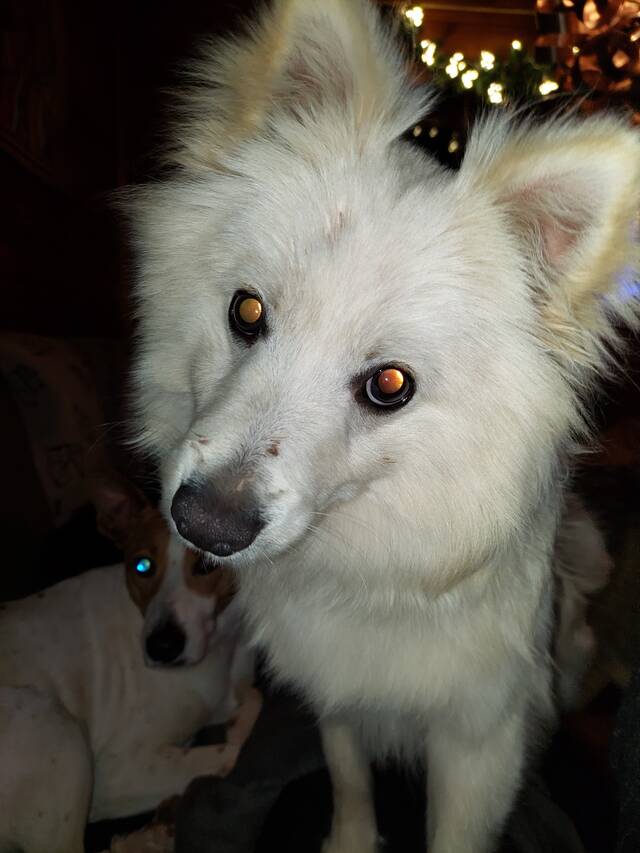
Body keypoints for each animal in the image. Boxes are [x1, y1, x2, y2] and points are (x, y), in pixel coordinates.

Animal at [0, 476, 261, 853]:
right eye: (142, 566)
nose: (162, 647)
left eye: (206, 566)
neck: (219, 650)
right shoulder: (119, 773)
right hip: (50, 720)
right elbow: (231, 752)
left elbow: (253, 697)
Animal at [127, 1, 640, 850]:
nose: (206, 522)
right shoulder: (335, 696)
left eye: (389, 385)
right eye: (247, 311)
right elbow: (348, 778)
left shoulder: (477, 747)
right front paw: (351, 839)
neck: (374, 570)